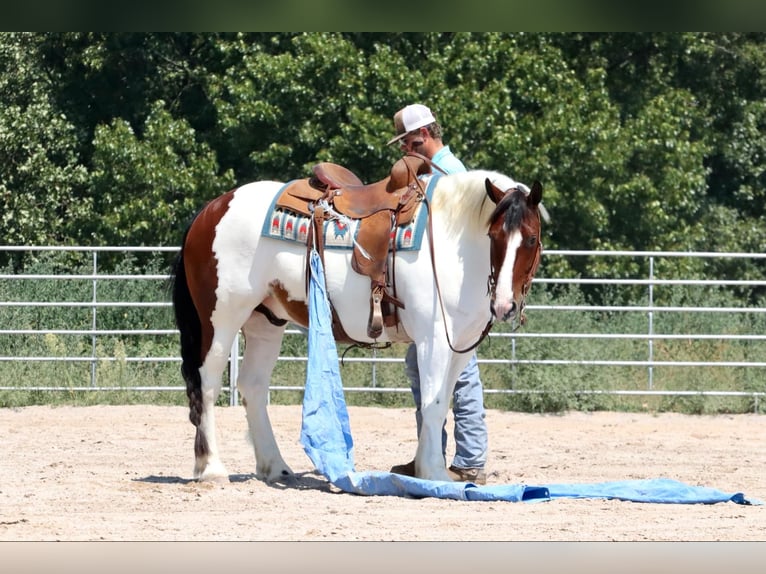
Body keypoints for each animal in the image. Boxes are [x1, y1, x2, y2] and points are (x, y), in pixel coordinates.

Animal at [172, 168, 544, 486]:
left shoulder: (460, 346)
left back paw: (276, 467)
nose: (505, 306)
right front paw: (434, 473)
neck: (450, 242)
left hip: (265, 322)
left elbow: (442, 404)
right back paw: (211, 469)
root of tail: (211, 210)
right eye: (494, 235)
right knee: (207, 385)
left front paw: (428, 469)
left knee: (252, 387)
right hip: (220, 319)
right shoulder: (433, 340)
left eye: (530, 239)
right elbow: (434, 404)